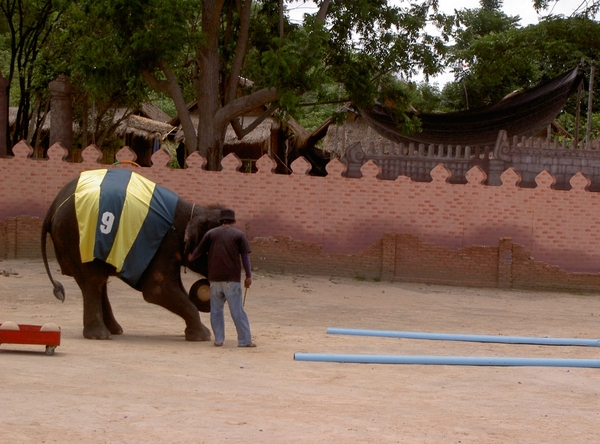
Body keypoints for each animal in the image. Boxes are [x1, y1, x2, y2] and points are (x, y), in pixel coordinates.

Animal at [42, 168, 220, 342]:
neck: (192, 211)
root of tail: (53, 207)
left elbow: (177, 288)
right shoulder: (164, 243)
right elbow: (157, 290)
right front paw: (203, 336)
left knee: (99, 281)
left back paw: (115, 330)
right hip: (78, 239)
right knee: (93, 279)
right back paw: (100, 335)